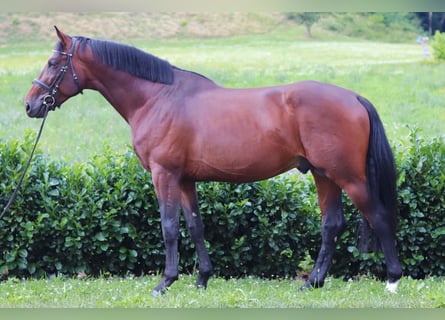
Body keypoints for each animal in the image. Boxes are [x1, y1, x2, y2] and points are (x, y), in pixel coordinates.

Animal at [24, 26, 400, 296]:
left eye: (54, 63)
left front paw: (165, 282)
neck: (158, 97)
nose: (31, 104)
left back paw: (393, 280)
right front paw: (202, 279)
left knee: (379, 217)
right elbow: (195, 226)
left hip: (349, 177)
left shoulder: (164, 174)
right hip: (324, 175)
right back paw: (313, 282)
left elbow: (169, 227)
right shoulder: (185, 179)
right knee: (331, 225)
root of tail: (353, 97)